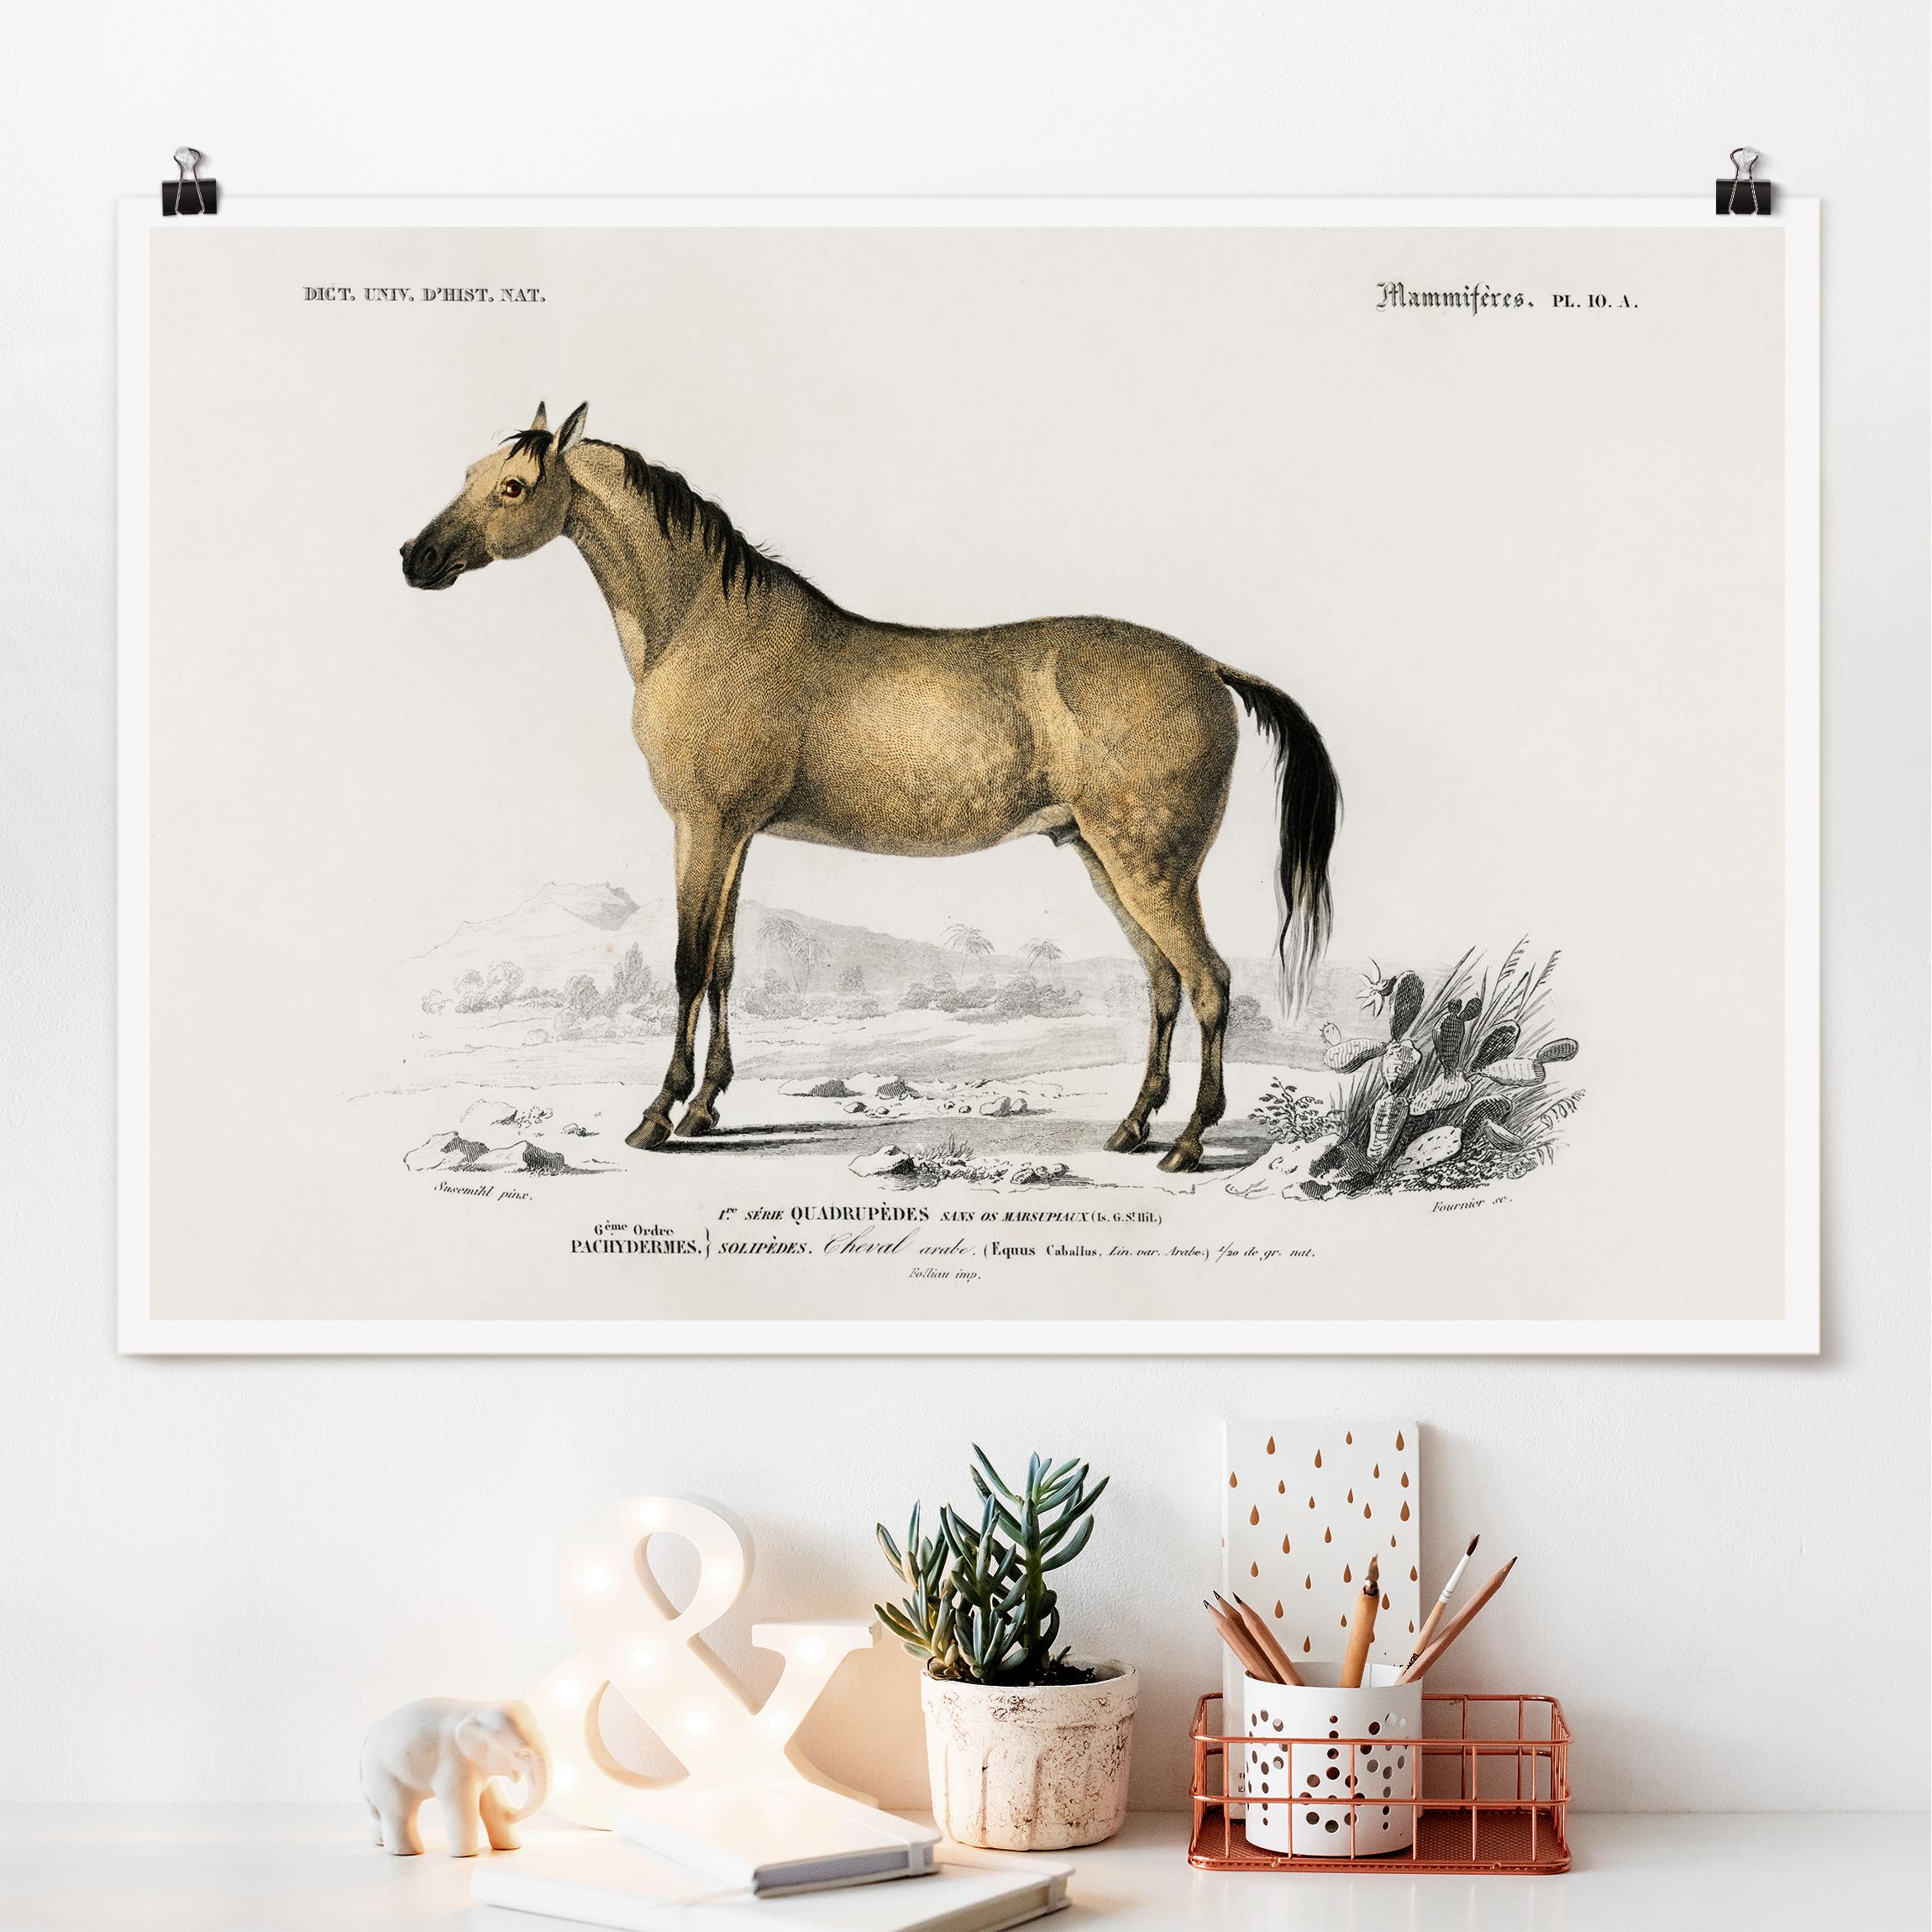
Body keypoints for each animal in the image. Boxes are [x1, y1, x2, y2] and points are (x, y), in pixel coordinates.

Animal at [401, 402, 1340, 1173]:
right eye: (470, 473)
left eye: (515, 485)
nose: (416, 558)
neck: (705, 625)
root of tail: (1206, 666)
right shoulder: (735, 836)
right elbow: (726, 965)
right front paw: (707, 1107)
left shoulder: (701, 826)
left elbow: (686, 964)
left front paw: (658, 1115)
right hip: (1105, 860)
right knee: (1163, 983)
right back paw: (1134, 1127)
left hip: (1150, 867)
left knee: (1210, 981)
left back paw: (1187, 1142)